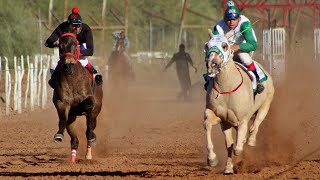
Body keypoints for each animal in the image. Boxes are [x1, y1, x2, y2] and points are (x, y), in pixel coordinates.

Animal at [52, 31, 102, 162]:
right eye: (60, 47)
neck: (72, 79)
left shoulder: (90, 100)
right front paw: (59, 135)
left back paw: (89, 153)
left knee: (90, 128)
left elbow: (87, 106)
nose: (68, 66)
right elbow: (63, 118)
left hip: (96, 112)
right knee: (75, 140)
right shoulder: (62, 102)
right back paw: (72, 160)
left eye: (76, 45)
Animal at [204, 33, 274, 174]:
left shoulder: (242, 120)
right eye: (207, 45)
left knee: (256, 123)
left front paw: (243, 142)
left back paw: (251, 140)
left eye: (225, 46)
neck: (226, 88)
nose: (212, 64)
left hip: (266, 103)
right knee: (229, 144)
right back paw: (228, 168)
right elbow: (208, 125)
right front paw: (212, 159)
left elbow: (238, 148)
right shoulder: (220, 117)